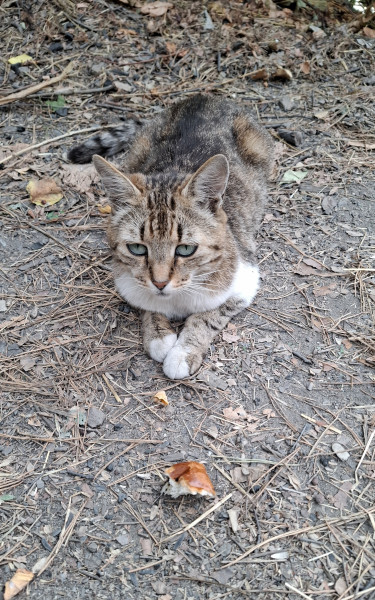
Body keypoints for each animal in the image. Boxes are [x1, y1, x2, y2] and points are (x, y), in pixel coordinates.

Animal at [68, 96, 274, 382]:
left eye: (185, 249)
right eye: (137, 248)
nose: (160, 282)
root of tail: (203, 97)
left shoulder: (245, 281)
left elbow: (208, 315)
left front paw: (183, 353)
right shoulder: (130, 282)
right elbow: (147, 305)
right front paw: (159, 336)